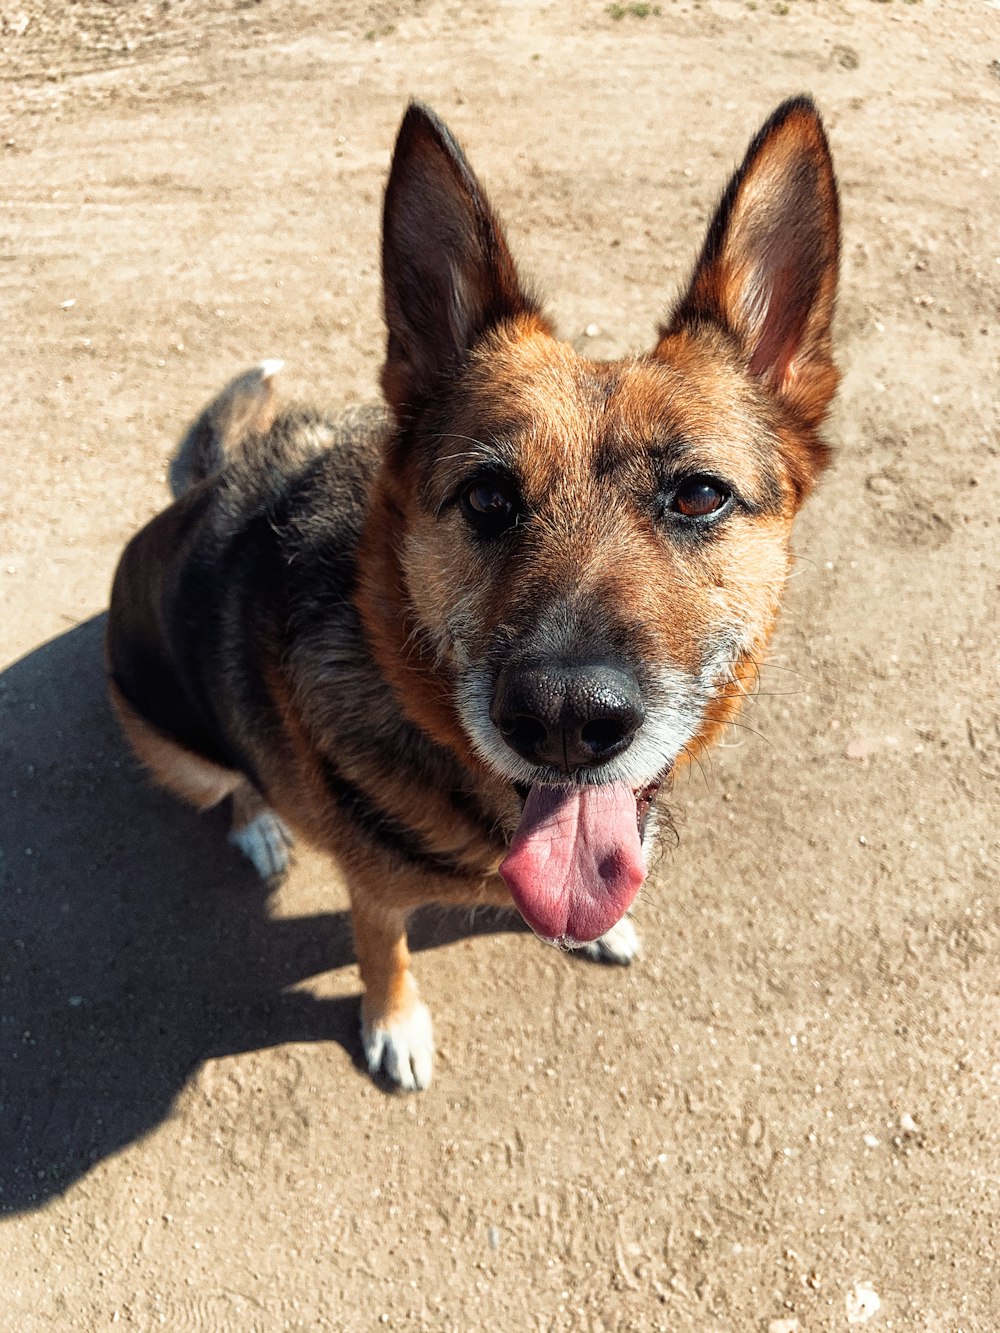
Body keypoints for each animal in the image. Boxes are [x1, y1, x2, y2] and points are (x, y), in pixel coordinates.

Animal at [106, 98, 842, 1087]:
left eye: (698, 494)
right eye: (488, 497)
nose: (565, 720)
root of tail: (200, 490)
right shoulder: (373, 889)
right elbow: (382, 947)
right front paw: (394, 1022)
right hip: (181, 746)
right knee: (233, 779)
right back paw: (260, 823)